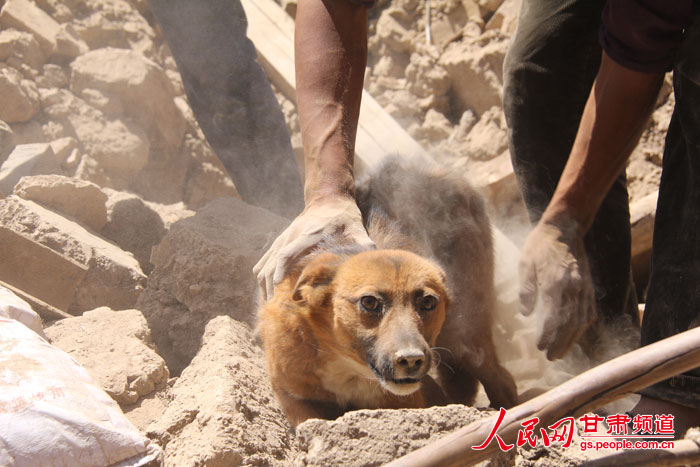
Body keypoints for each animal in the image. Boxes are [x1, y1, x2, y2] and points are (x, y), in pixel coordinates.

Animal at [256, 158, 516, 428]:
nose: (411, 360)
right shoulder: (296, 399)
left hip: (465, 334)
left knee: (502, 379)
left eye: (428, 302)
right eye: (369, 302)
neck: (346, 366)